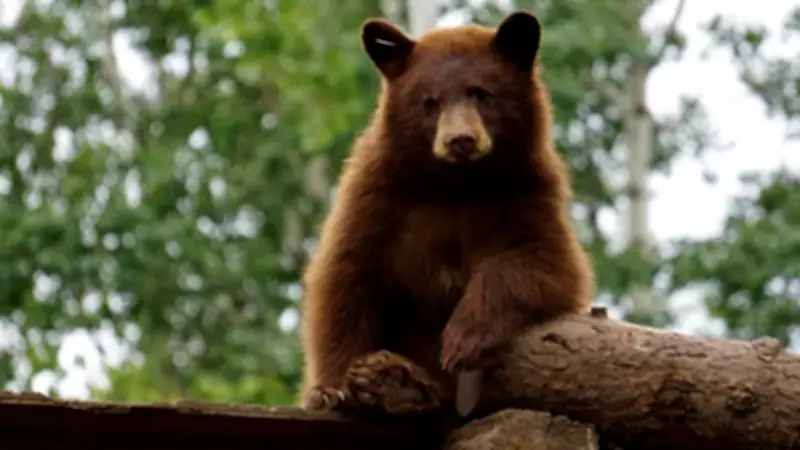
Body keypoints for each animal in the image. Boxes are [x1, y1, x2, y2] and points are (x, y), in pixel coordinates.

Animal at [298, 10, 595, 415]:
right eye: (430, 101)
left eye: (481, 93)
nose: (460, 141)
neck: (455, 186)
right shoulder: (376, 197)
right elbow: (345, 278)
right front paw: (331, 389)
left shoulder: (528, 193)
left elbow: (546, 263)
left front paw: (462, 339)